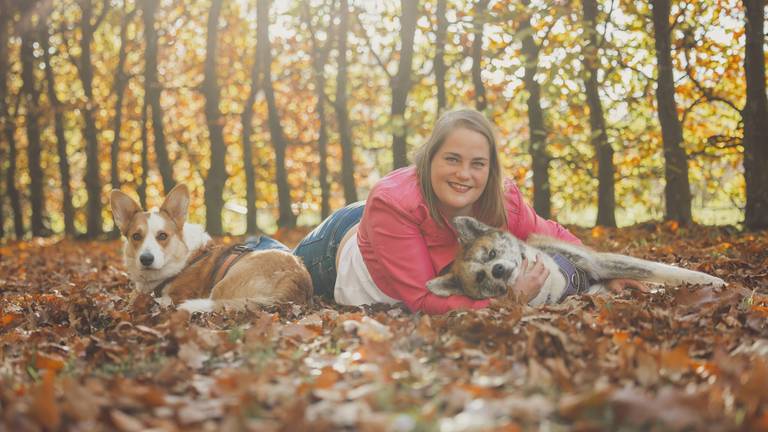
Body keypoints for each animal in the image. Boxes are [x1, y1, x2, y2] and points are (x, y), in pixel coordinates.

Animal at [426, 215, 728, 304]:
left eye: (491, 254)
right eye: (481, 277)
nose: (498, 270)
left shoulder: (598, 262)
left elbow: (662, 270)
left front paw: (716, 281)